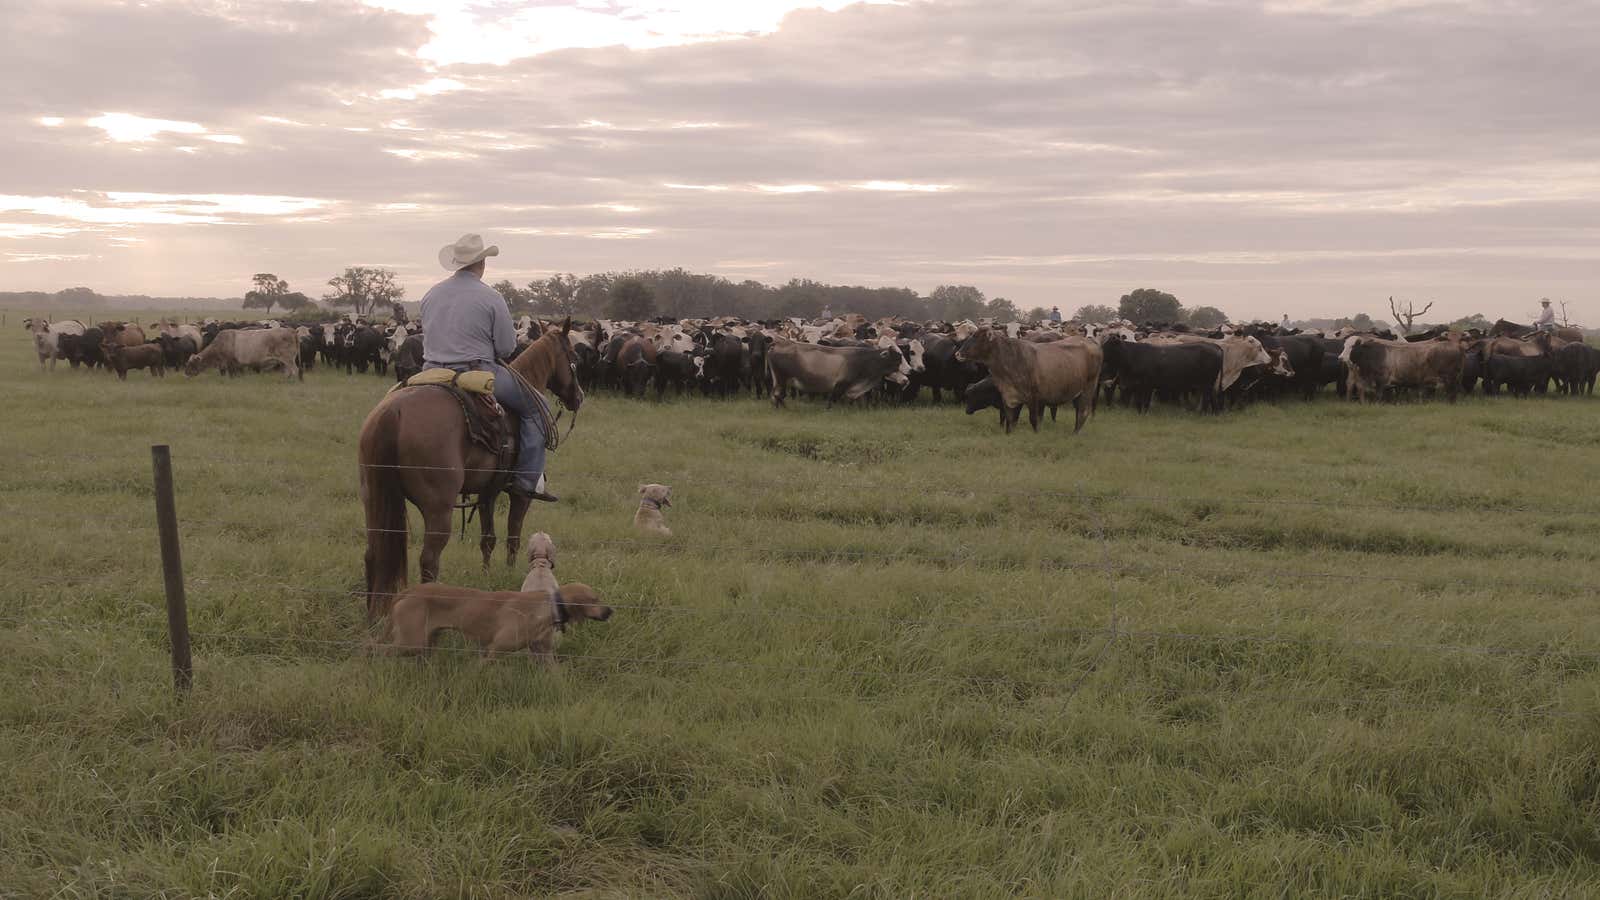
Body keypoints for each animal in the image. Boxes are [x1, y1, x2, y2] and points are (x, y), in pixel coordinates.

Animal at [356, 318, 582, 621]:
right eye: (574, 357)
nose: (578, 397)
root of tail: (394, 412)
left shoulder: (487, 492)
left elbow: (488, 538)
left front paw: (486, 576)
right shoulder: (519, 495)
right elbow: (513, 535)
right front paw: (511, 572)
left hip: (375, 498)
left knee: (373, 552)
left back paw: (372, 615)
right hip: (438, 509)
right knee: (429, 559)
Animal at [380, 576, 611, 662]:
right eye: (594, 599)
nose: (610, 611)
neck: (548, 606)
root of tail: (410, 590)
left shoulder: (543, 652)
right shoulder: (494, 649)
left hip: (428, 642)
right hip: (412, 642)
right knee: (377, 649)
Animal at [953, 328, 1107, 432]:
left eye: (976, 337)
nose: (957, 354)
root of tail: (1090, 342)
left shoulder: (1033, 398)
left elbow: (1034, 420)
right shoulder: (1008, 397)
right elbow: (1010, 421)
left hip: (1088, 388)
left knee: (1082, 412)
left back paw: (1075, 433)